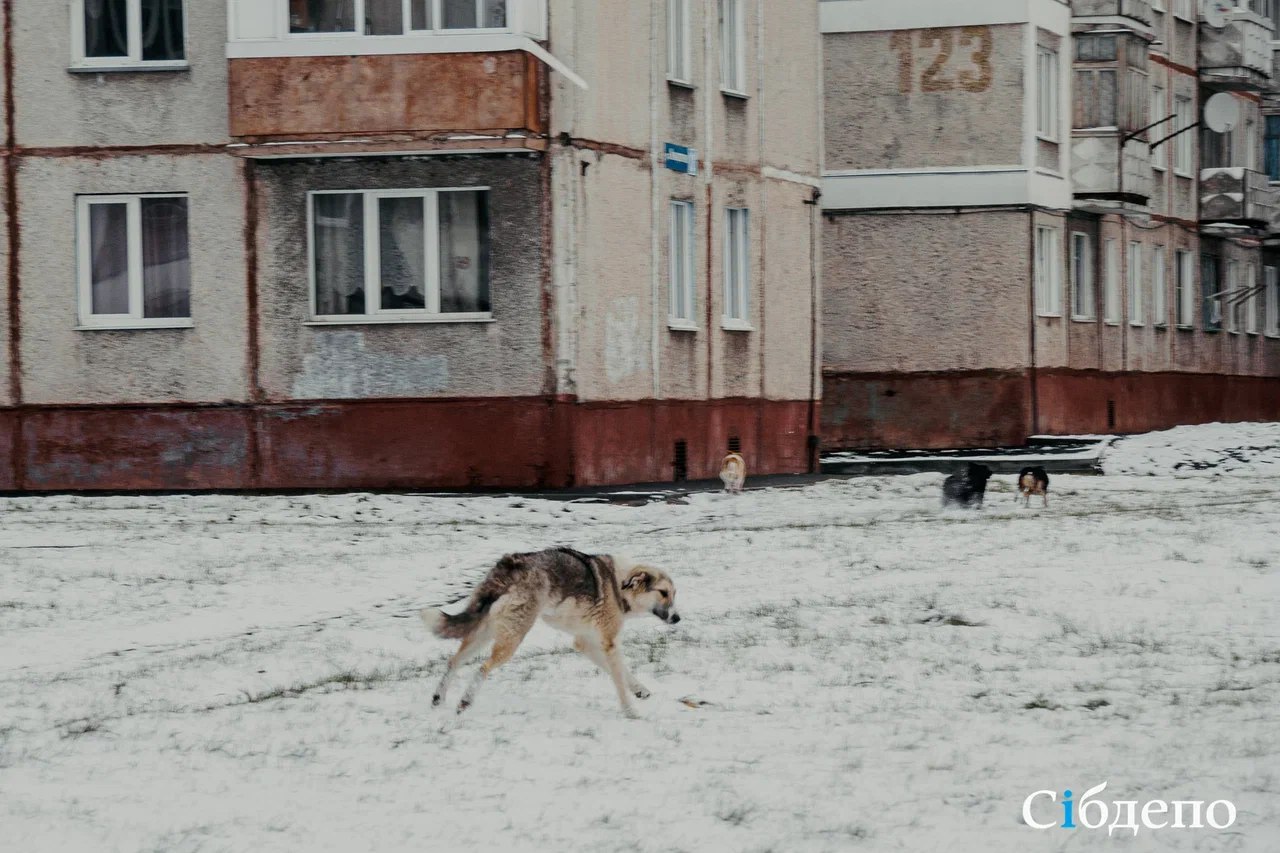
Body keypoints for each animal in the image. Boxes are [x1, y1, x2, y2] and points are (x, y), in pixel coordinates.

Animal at [422, 545, 680, 717]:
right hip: (513, 636)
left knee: (454, 661)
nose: (677, 618)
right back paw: (465, 701)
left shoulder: (586, 643)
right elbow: (618, 678)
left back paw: (438, 699)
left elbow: (622, 672)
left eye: (673, 594)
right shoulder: (608, 643)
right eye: (663, 593)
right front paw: (631, 711)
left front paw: (640, 691)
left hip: (485, 631)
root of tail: (511, 565)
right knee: (482, 668)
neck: (620, 586)